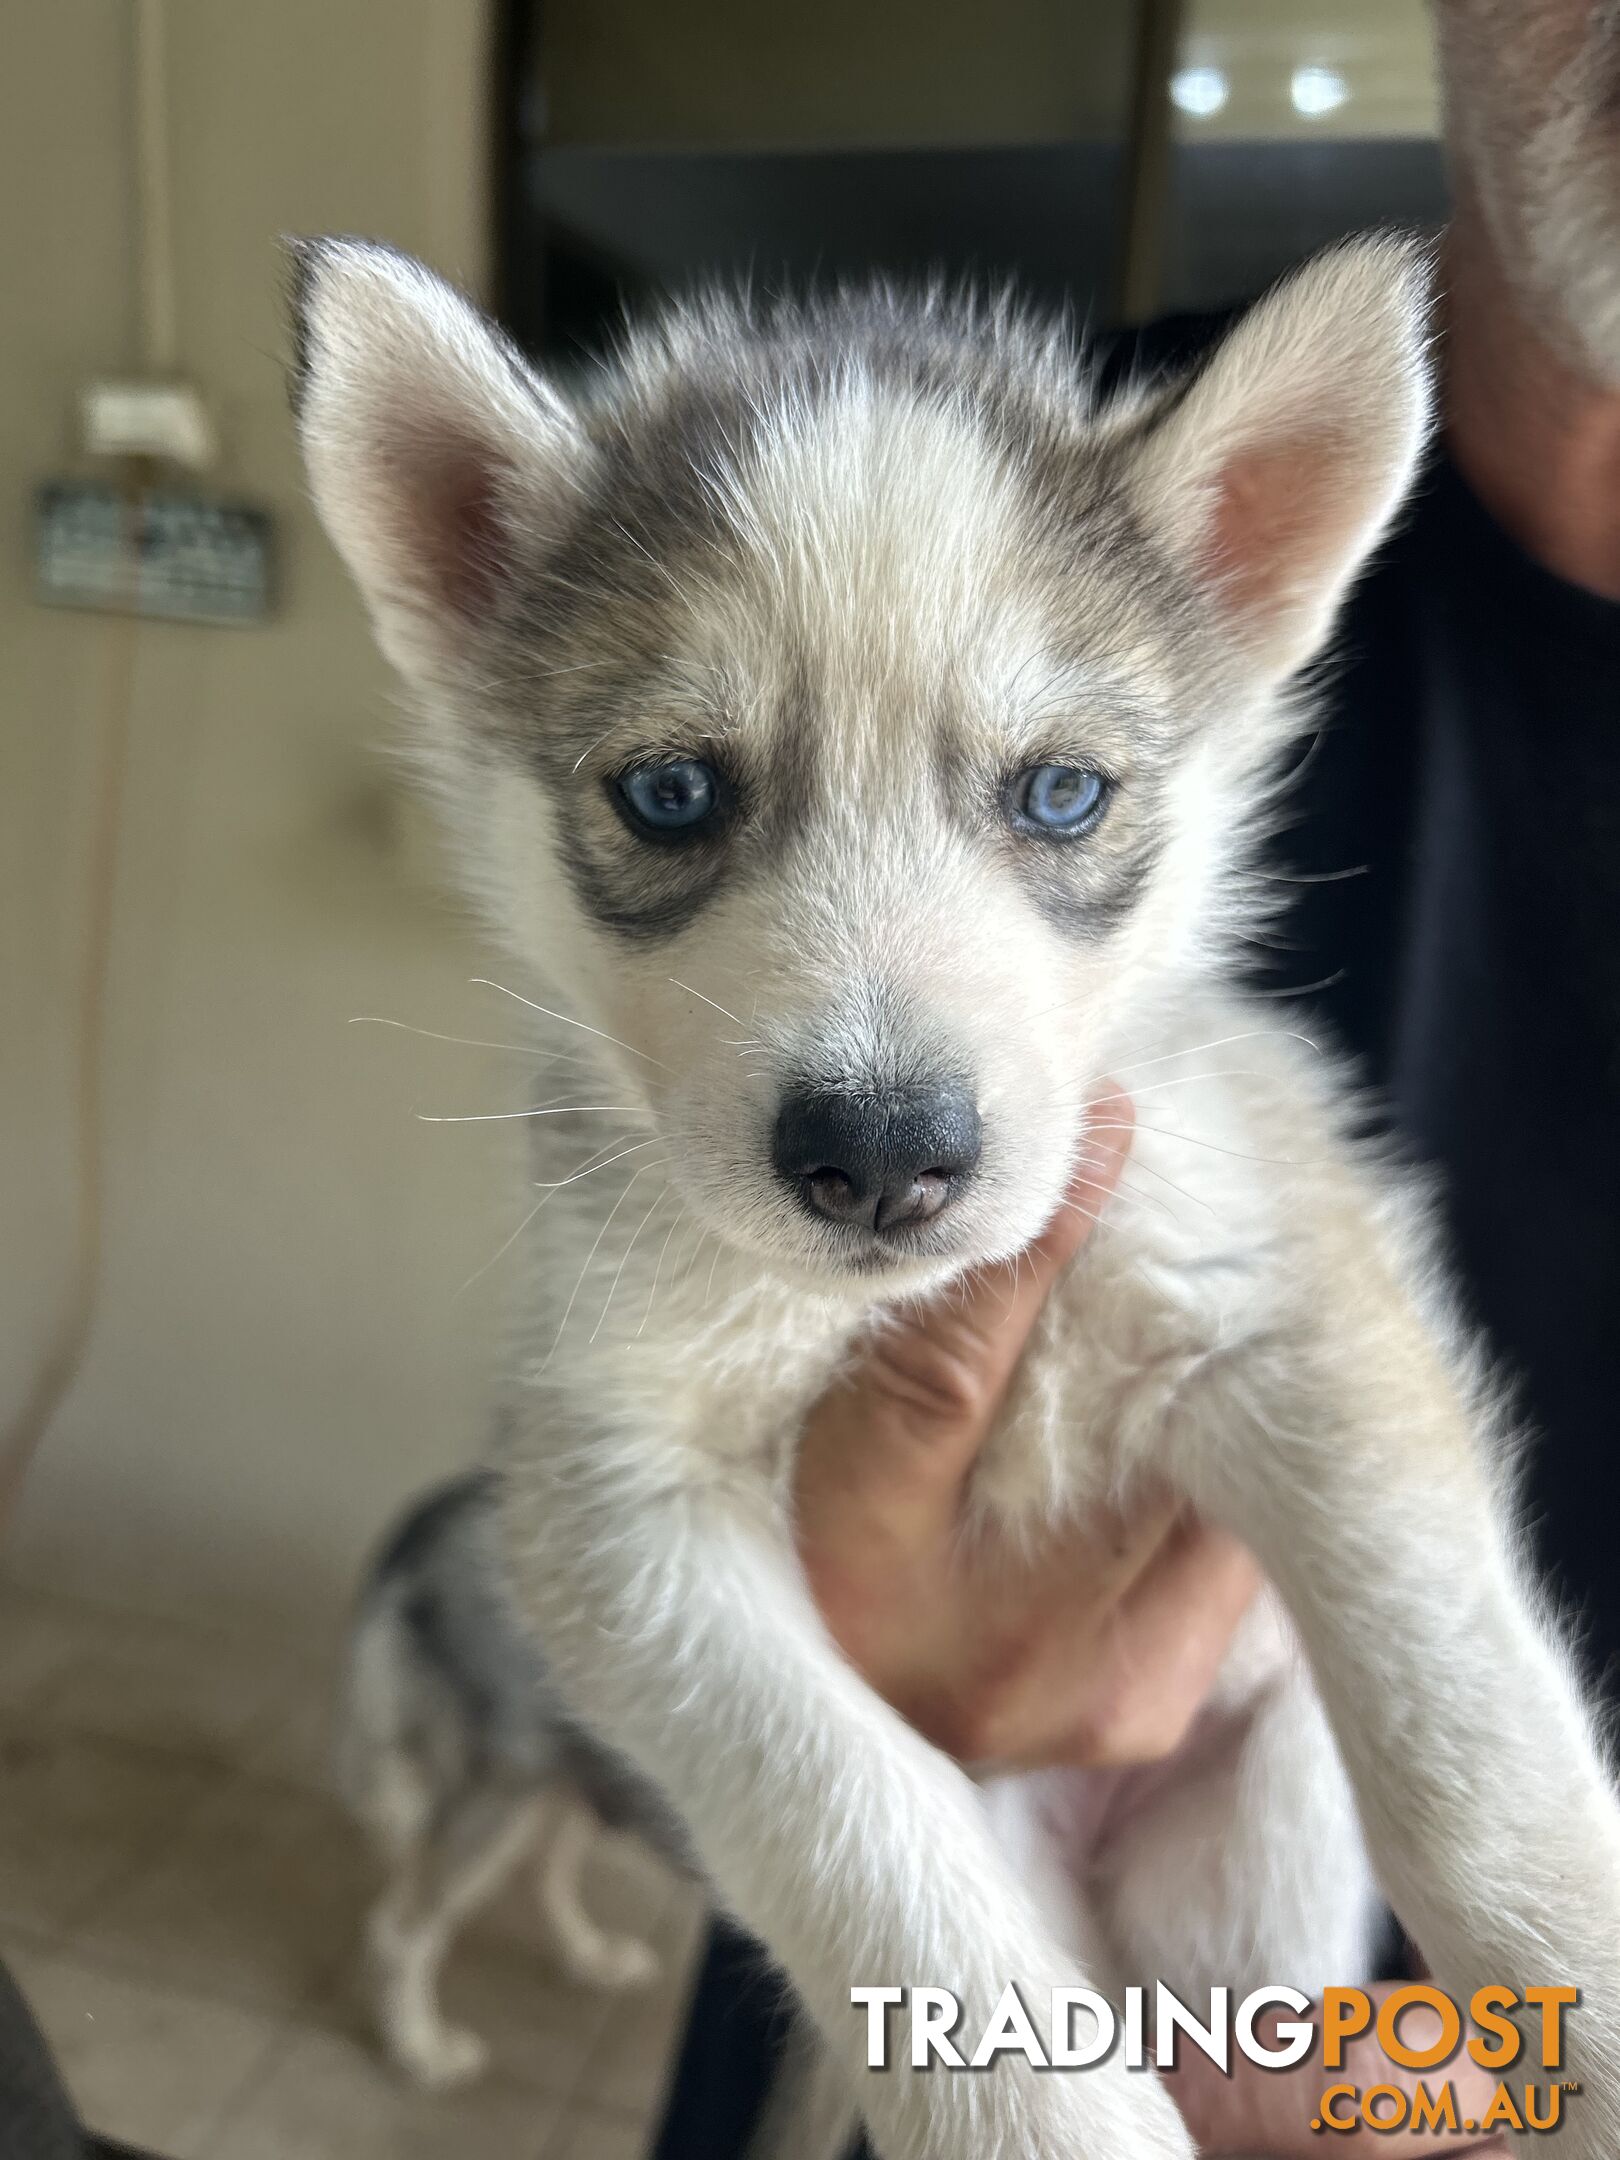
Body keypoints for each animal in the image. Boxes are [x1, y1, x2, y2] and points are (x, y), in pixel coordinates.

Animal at [339, 1460, 673, 2082]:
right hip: (500, 1794)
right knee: (400, 1935)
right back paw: (422, 2051)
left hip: (574, 1770)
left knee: (545, 1872)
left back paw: (589, 1956)